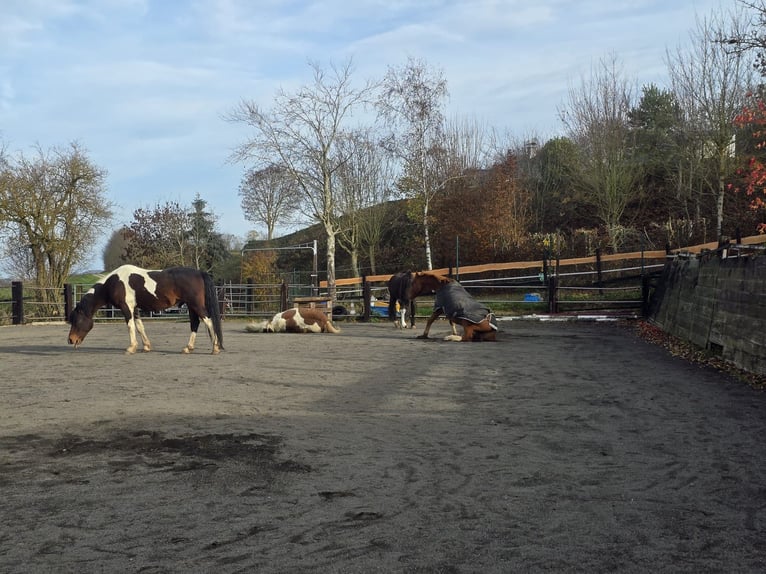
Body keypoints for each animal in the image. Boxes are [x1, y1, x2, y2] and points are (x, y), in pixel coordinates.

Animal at [67, 265, 224, 354]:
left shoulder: (126, 307)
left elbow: (130, 326)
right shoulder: (135, 309)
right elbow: (140, 326)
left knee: (208, 321)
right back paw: (188, 348)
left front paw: (131, 347)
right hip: (191, 306)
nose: (70, 340)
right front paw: (146, 346)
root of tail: (199, 272)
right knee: (195, 324)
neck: (114, 282)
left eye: (76, 320)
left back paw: (215, 348)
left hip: (196, 305)